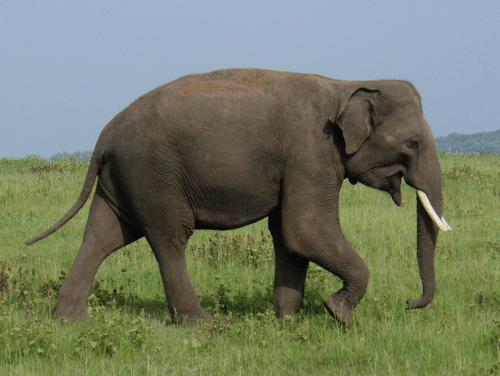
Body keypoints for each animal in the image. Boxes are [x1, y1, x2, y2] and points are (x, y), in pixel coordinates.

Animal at [25, 69, 452, 328]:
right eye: (412, 144)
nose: (410, 303)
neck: (346, 84)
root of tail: (105, 133)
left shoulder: (300, 162)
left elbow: (288, 234)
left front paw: (285, 319)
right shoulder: (310, 152)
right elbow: (306, 228)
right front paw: (339, 315)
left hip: (126, 176)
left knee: (104, 235)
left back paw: (71, 321)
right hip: (153, 173)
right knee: (169, 238)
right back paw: (202, 322)